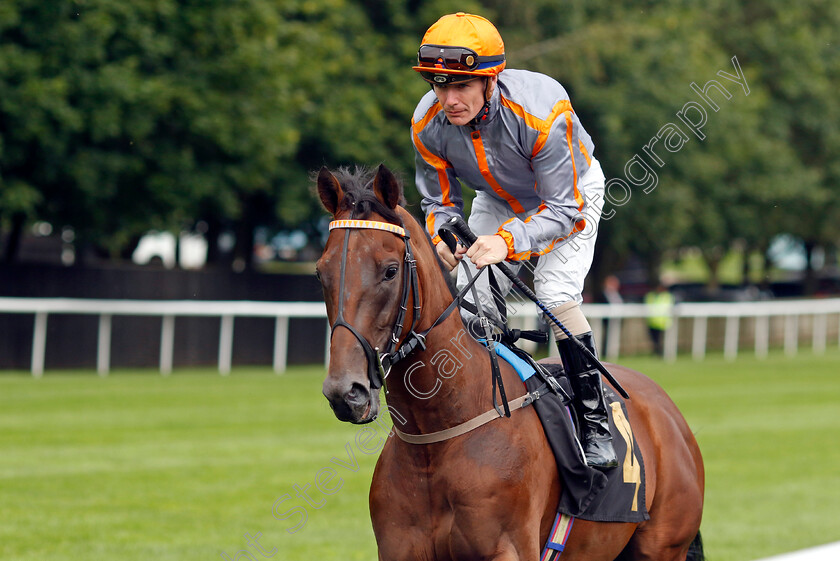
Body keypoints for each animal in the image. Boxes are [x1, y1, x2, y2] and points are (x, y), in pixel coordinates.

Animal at [316, 164, 704, 560]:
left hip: (663, 546)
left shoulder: (508, 548)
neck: (437, 435)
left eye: (390, 270)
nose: (346, 392)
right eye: (320, 272)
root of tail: (668, 411)